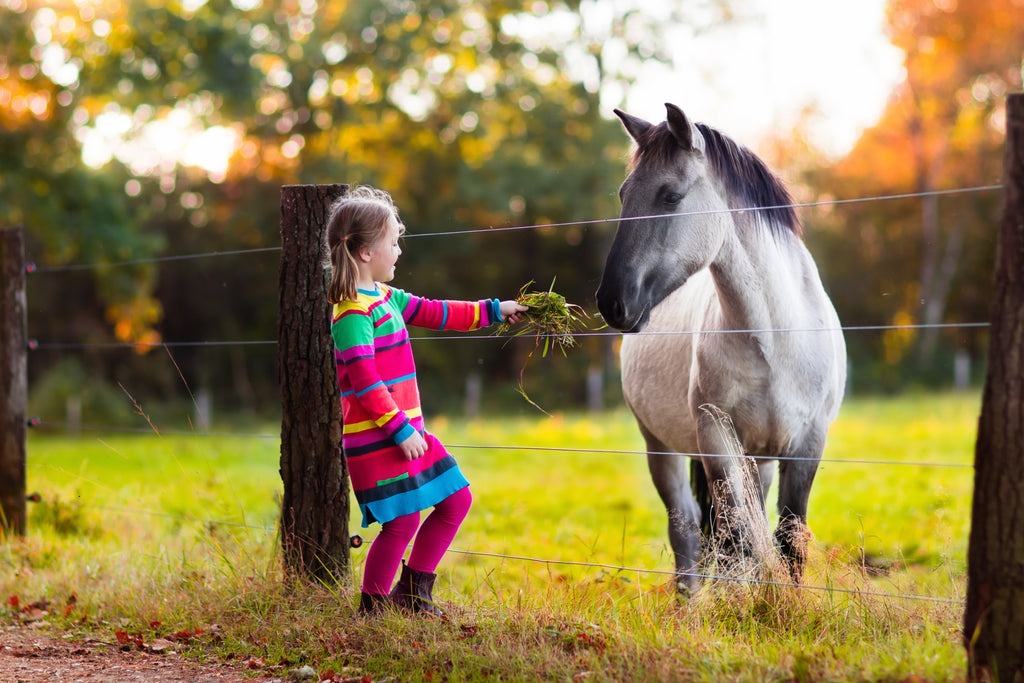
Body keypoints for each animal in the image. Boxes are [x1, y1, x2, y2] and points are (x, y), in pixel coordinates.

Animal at [598, 102, 843, 593]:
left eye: (671, 196)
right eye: (623, 195)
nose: (611, 301)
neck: (774, 340)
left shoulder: (807, 445)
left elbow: (787, 542)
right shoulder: (715, 440)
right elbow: (735, 541)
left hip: (757, 460)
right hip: (661, 447)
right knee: (687, 529)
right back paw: (689, 602)